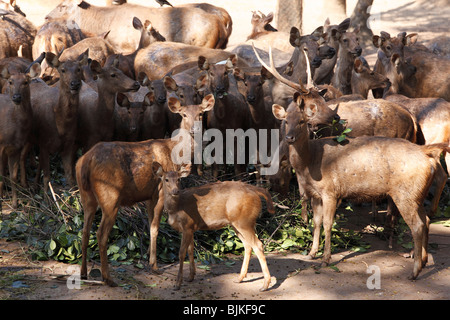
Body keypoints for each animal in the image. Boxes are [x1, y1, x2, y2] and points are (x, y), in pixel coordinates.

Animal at [76, 94, 215, 286]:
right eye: (184, 114)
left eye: (201, 113)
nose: (194, 129)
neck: (176, 154)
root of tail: (86, 161)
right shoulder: (161, 190)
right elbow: (155, 227)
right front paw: (154, 265)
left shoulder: (149, 195)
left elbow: (150, 224)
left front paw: (150, 258)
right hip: (110, 195)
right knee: (101, 234)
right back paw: (108, 278)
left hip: (86, 196)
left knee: (84, 231)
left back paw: (83, 273)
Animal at [153, 164, 276, 292]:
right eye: (166, 179)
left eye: (179, 179)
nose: (175, 191)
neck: (176, 208)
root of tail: (256, 190)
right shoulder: (191, 228)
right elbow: (190, 250)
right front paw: (191, 276)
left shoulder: (187, 225)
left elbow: (182, 253)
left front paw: (177, 283)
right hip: (237, 223)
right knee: (247, 245)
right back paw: (240, 278)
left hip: (244, 221)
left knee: (258, 245)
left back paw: (265, 285)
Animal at [262, 47, 448, 280]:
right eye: (286, 120)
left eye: (303, 120)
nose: (289, 138)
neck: (310, 163)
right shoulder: (316, 195)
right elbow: (316, 222)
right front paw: (312, 252)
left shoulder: (331, 191)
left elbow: (327, 223)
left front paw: (326, 259)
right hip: (416, 194)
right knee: (426, 220)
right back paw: (421, 260)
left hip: (405, 193)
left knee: (417, 225)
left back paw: (413, 269)